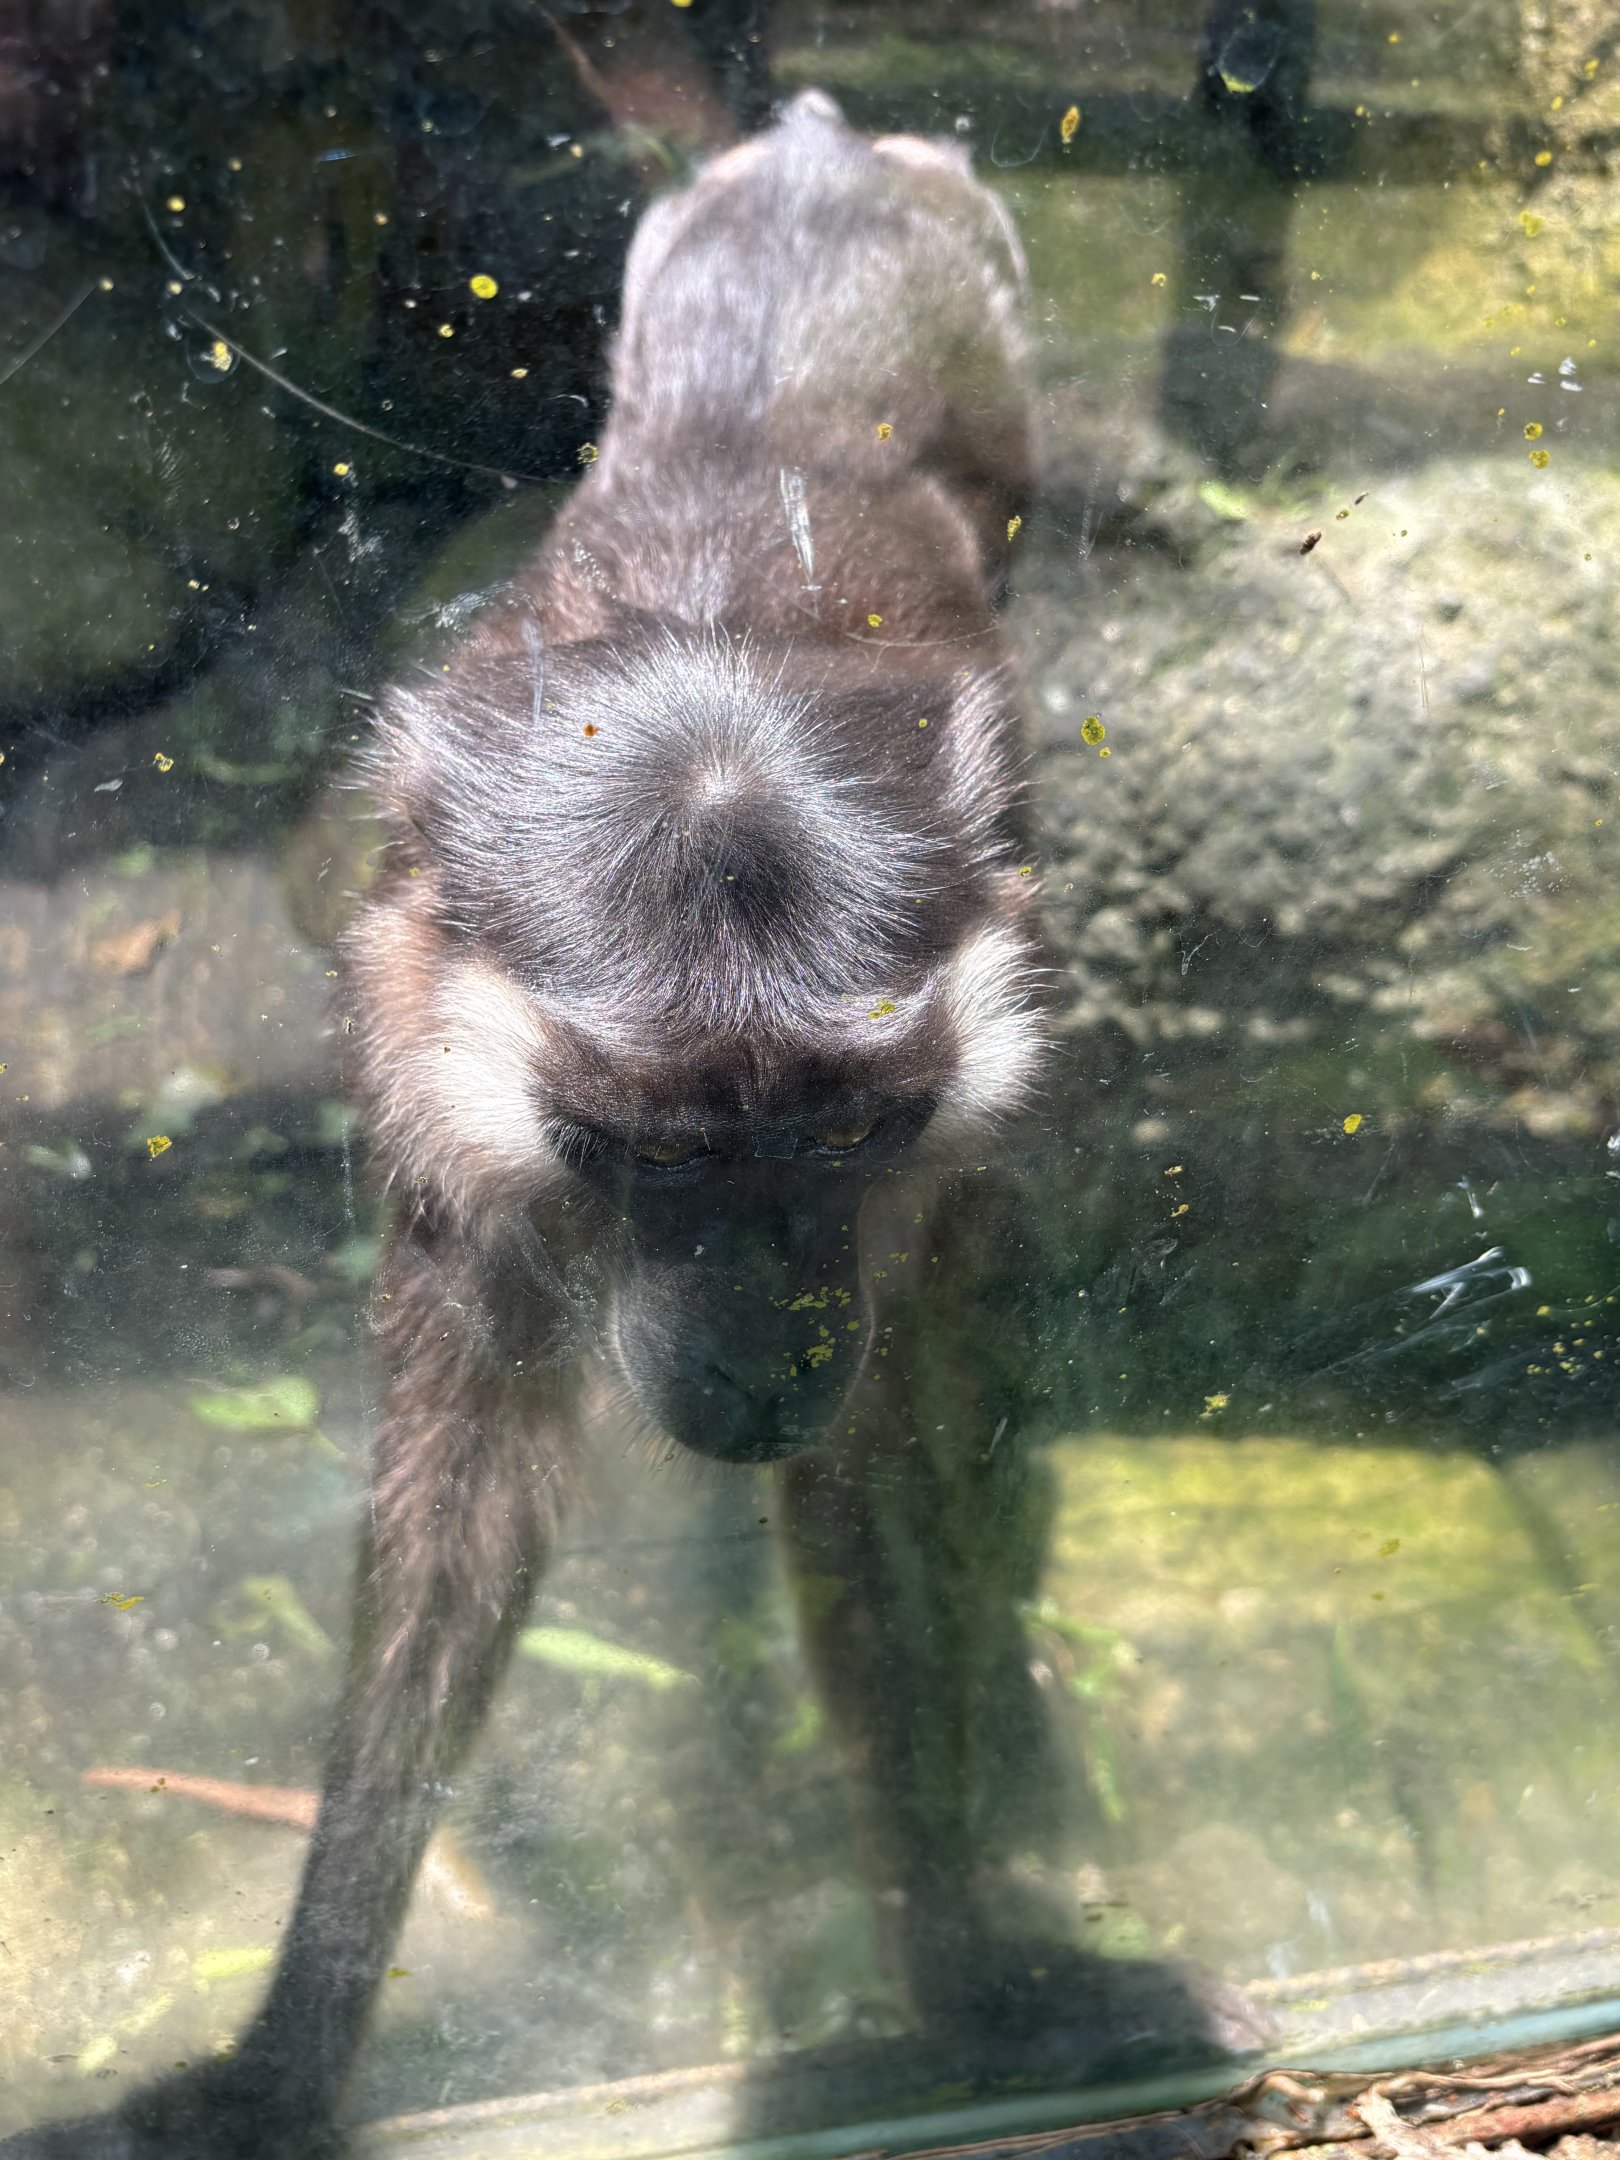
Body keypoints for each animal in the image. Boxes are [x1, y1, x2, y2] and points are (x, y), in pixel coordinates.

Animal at [2, 92, 1258, 2160]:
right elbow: (464, 1510)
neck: (715, 646)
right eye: (666, 1156)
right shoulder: (430, 1056)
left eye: (835, 1141)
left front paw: (981, 1990)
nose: (763, 1350)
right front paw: (278, 2061)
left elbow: (878, 1481)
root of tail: (822, 153)